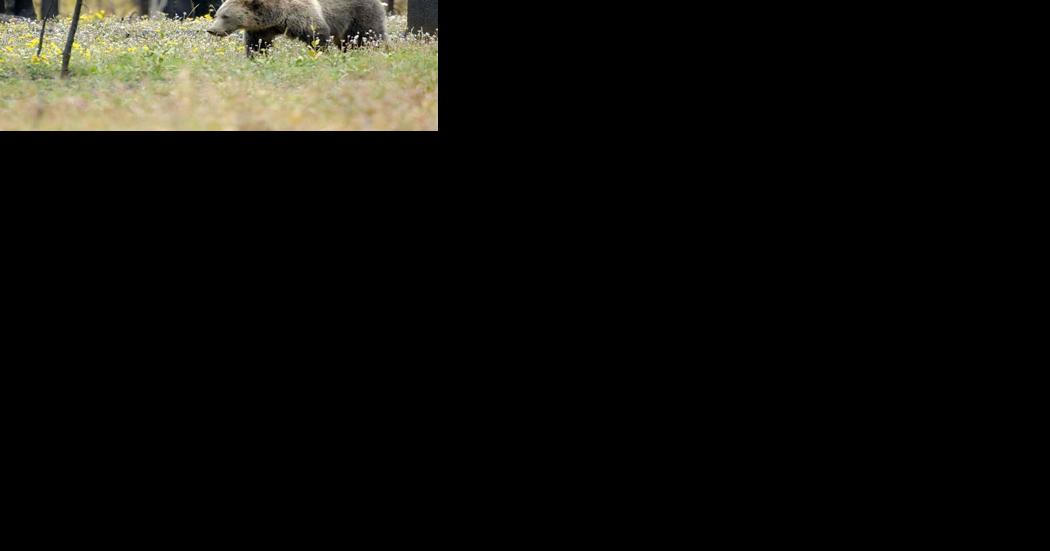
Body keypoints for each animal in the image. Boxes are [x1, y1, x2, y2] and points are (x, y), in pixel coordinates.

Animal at [206, 0, 386, 57]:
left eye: (225, 16)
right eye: (217, 14)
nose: (212, 30)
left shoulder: (302, 16)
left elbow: (317, 36)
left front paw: (322, 54)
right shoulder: (263, 28)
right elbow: (257, 44)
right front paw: (256, 57)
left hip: (359, 15)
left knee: (368, 37)